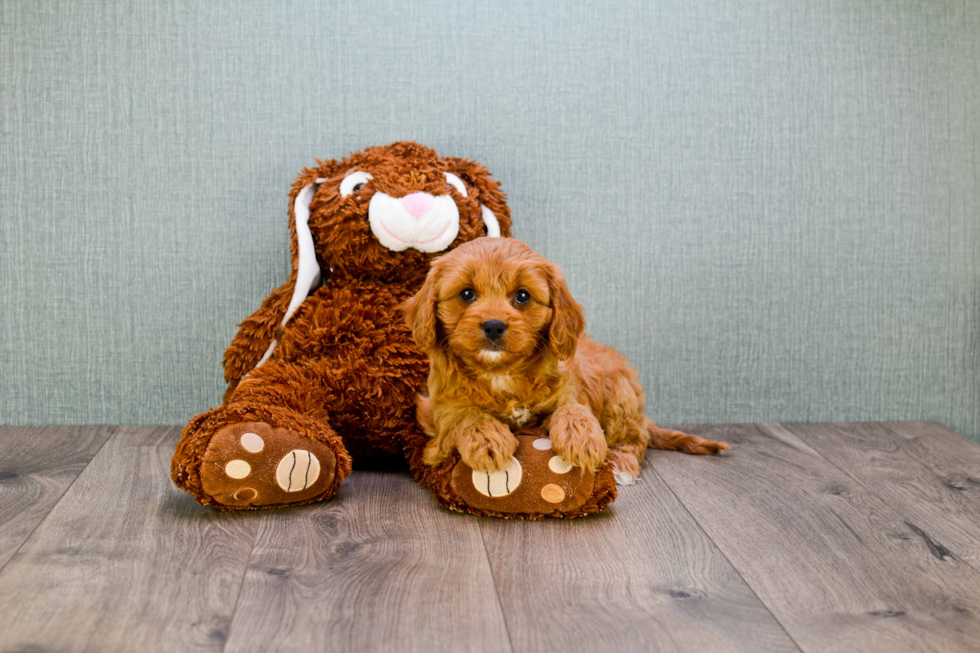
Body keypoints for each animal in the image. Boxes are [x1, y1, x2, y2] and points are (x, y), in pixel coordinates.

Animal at [400, 237, 728, 482]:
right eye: (466, 294)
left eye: (522, 296)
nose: (494, 325)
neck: (501, 372)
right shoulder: (439, 407)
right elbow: (465, 414)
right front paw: (487, 439)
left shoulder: (569, 388)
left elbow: (573, 409)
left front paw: (582, 440)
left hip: (620, 397)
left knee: (635, 439)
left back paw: (621, 466)